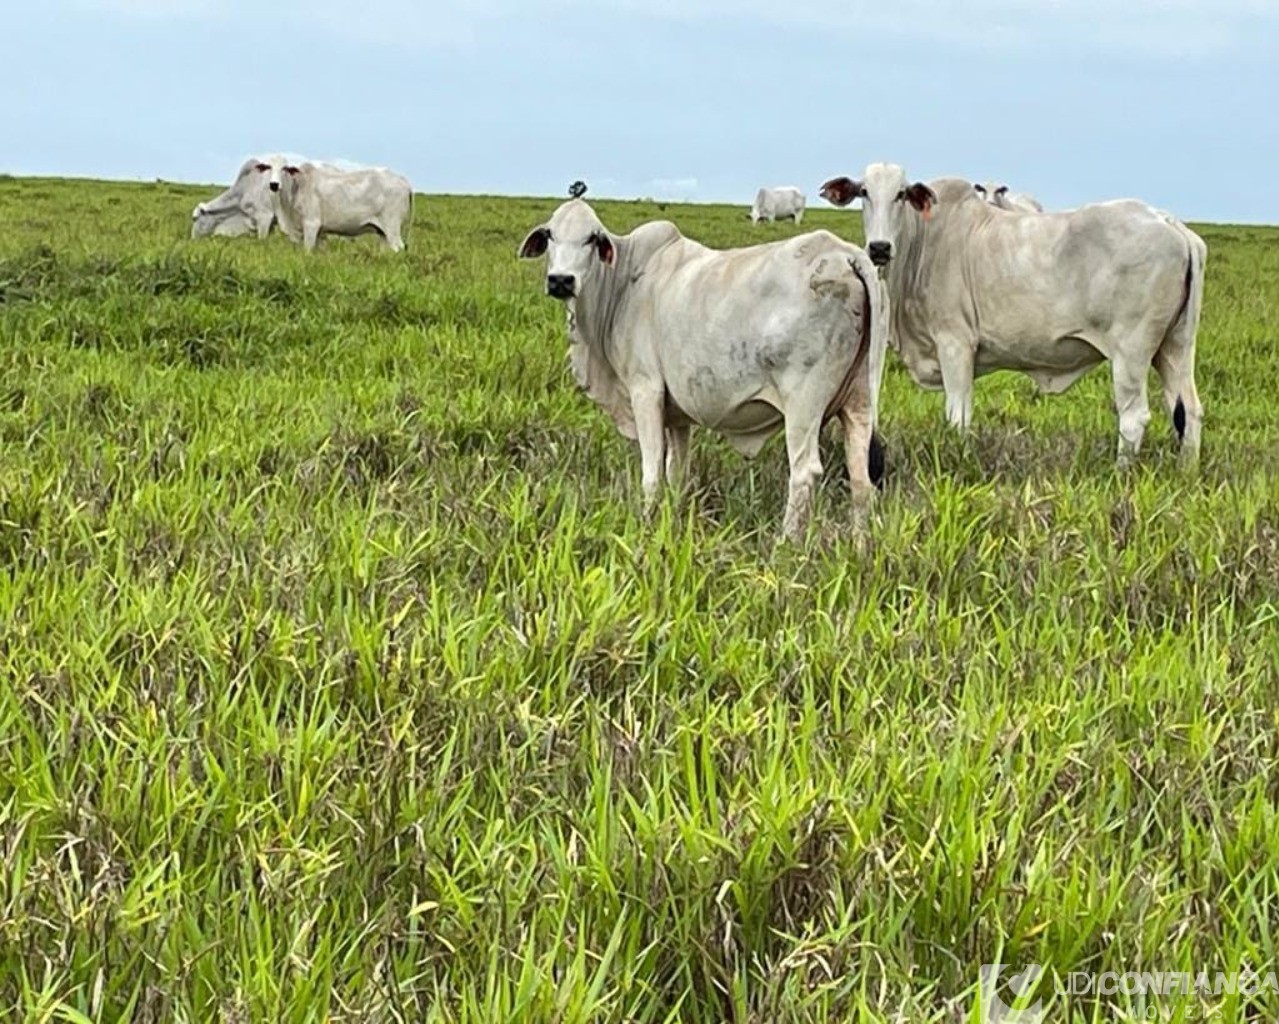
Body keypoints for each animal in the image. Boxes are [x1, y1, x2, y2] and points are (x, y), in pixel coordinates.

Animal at [272, 163, 411, 253]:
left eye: (284, 169)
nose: (274, 184)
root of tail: (404, 181)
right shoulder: (319, 232)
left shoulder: (311, 223)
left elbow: (308, 250)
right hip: (383, 233)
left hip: (392, 226)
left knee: (398, 247)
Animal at [514, 194, 885, 539]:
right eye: (550, 234)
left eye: (591, 238)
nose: (561, 280)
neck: (621, 286)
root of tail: (843, 253)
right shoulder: (677, 414)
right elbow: (676, 471)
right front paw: (672, 520)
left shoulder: (645, 389)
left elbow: (652, 473)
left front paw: (646, 526)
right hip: (859, 401)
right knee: (861, 481)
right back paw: (859, 546)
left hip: (803, 403)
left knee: (805, 471)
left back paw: (786, 544)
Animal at [823, 161, 1202, 465]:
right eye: (864, 192)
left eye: (901, 194)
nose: (879, 248)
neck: (925, 242)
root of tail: (1170, 222)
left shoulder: (955, 345)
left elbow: (957, 417)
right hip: (1173, 348)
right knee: (1189, 411)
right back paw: (1187, 471)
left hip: (1131, 351)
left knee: (1134, 416)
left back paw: (1121, 472)